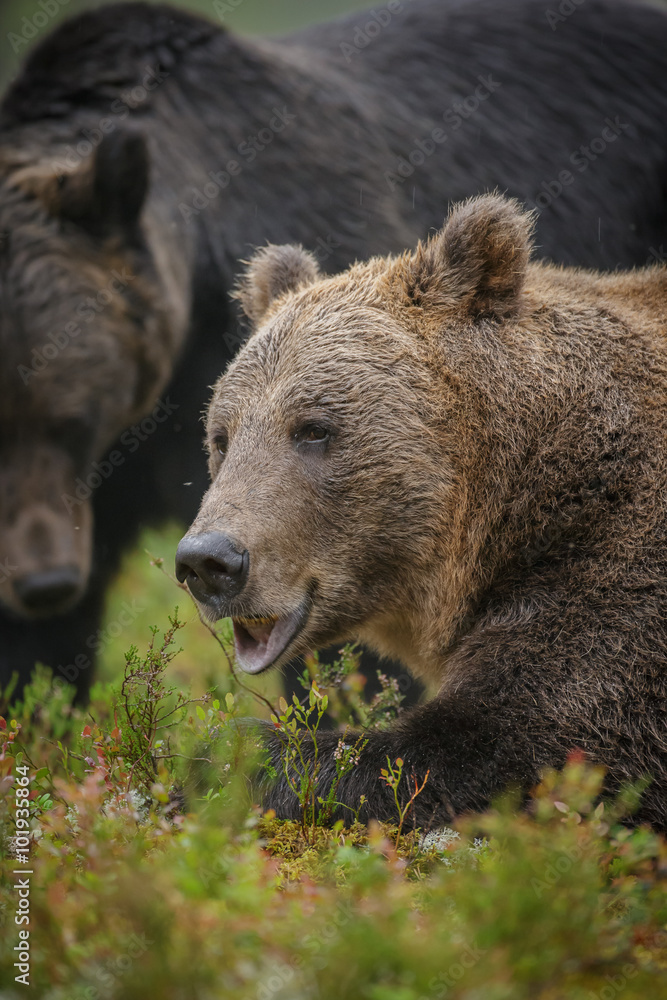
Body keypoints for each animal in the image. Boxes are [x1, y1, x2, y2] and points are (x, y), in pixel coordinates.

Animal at [176, 193, 667, 828]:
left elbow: (513, 742)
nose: (208, 561)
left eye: (313, 429)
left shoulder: (617, 569)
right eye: (222, 437)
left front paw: (220, 749)